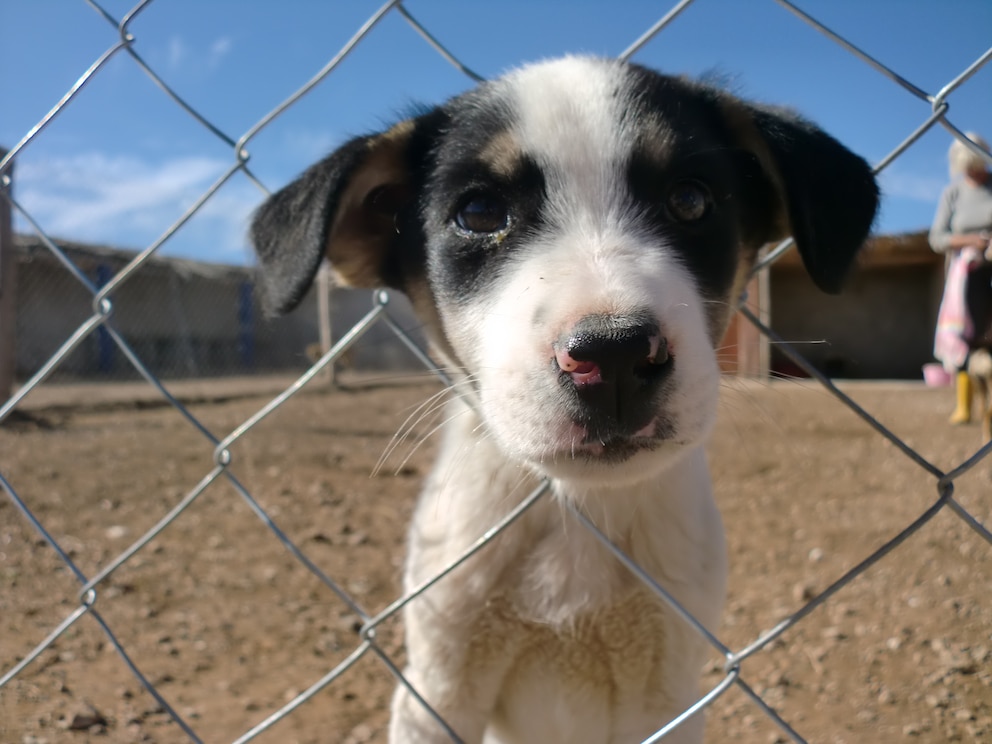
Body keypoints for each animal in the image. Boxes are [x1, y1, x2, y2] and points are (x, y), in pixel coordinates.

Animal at [250, 58, 876, 744]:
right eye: (478, 212)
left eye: (690, 200)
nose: (614, 356)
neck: (576, 513)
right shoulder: (438, 687)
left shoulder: (667, 692)